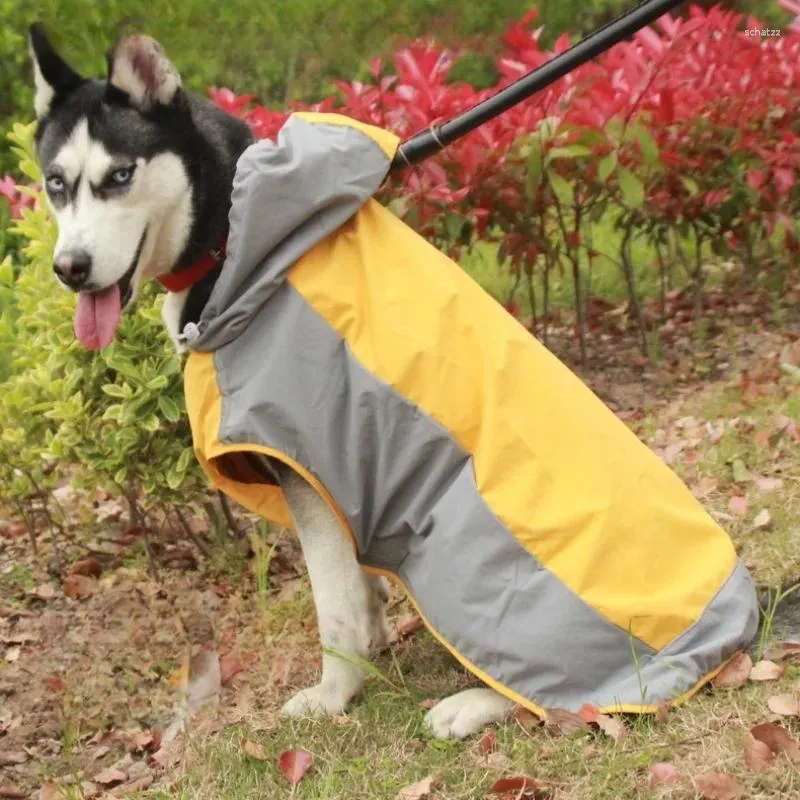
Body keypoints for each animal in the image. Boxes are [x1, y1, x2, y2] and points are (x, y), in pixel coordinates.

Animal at [28, 23, 512, 736]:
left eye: (119, 176)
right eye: (56, 184)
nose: (71, 268)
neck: (231, 236)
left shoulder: (307, 466)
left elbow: (332, 603)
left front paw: (335, 693)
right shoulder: (334, 486)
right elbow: (359, 590)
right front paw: (370, 650)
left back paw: (473, 703)